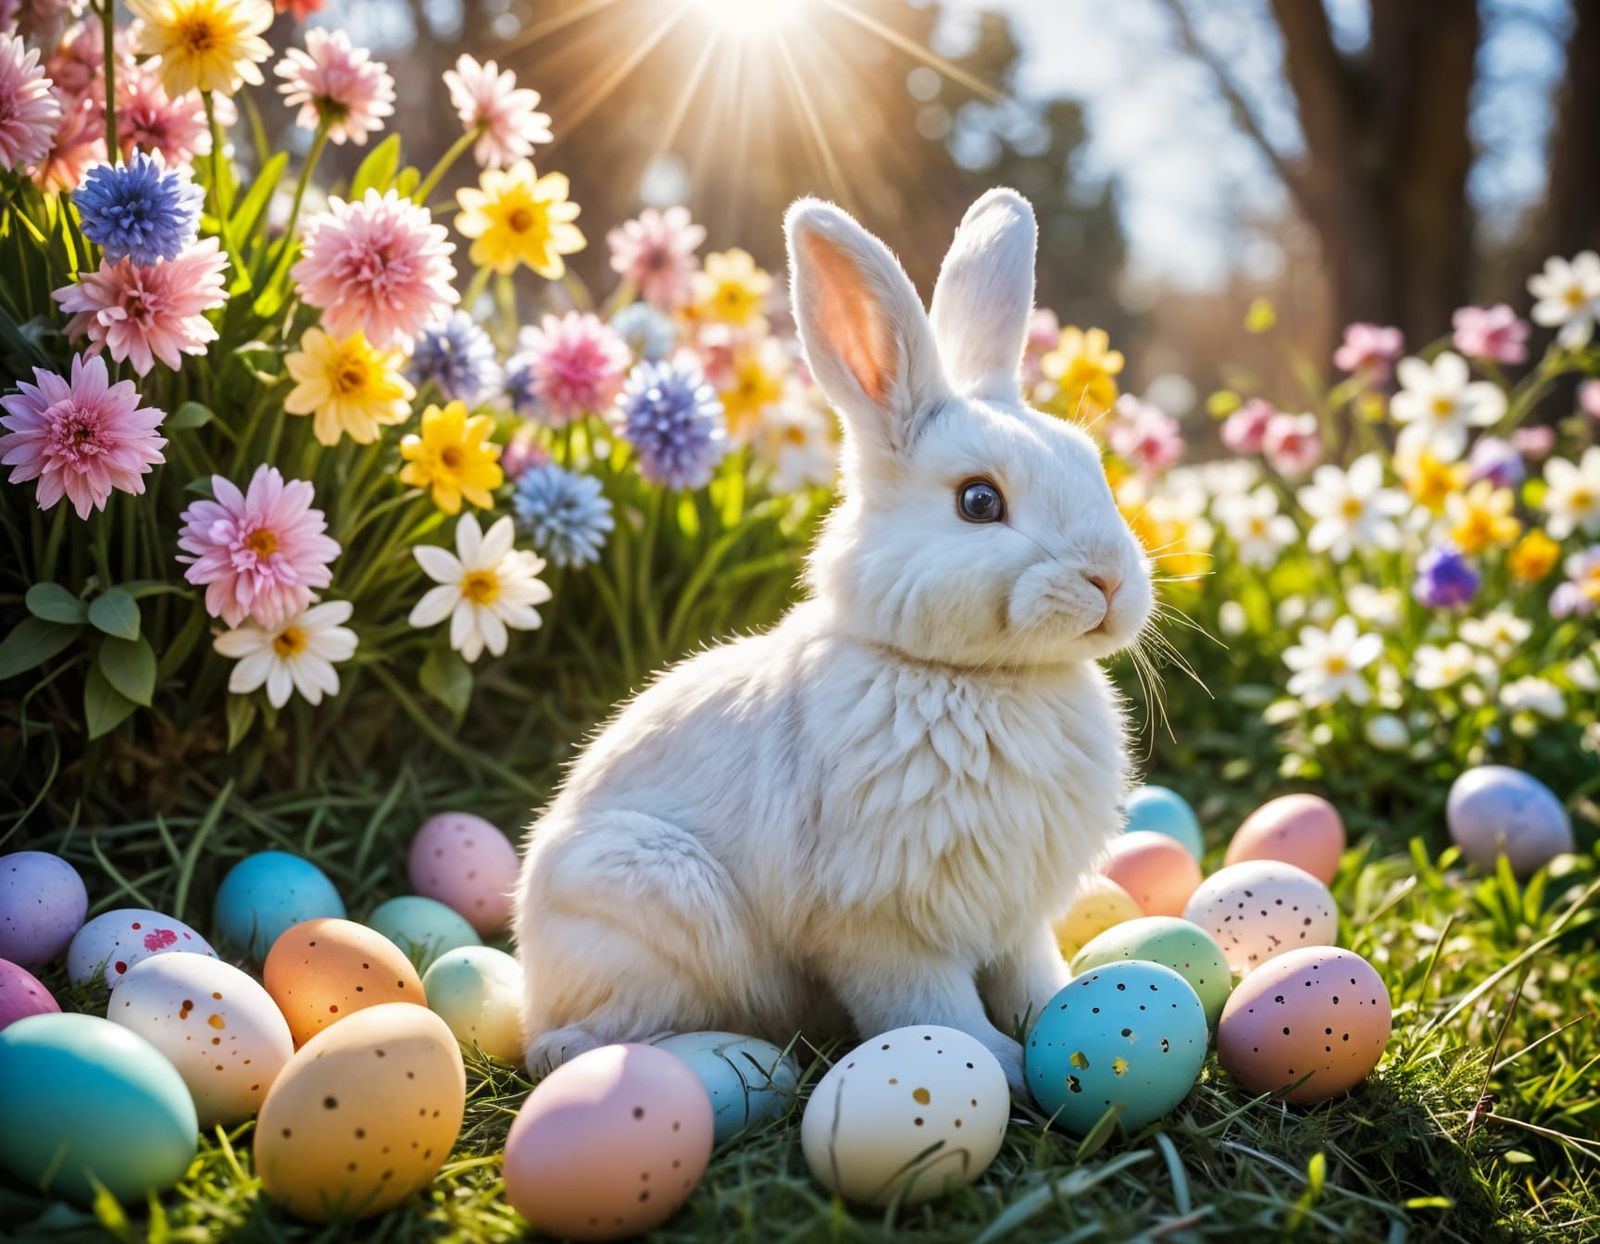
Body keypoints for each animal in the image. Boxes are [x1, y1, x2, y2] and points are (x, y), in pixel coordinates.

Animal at [513, 188, 1154, 1091]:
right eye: (980, 502)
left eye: (1092, 465)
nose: (1110, 582)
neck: (978, 677)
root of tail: (531, 980)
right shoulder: (884, 927)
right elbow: (930, 1007)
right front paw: (994, 1065)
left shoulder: (1014, 916)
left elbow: (1031, 976)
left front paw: (1056, 1014)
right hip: (650, 908)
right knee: (578, 1040)